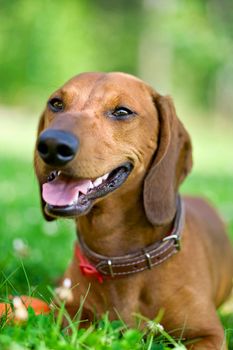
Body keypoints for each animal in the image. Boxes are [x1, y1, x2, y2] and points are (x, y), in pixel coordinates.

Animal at [34, 72, 233, 348]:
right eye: (56, 104)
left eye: (122, 111)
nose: (52, 144)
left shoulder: (209, 333)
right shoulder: (68, 316)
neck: (118, 256)